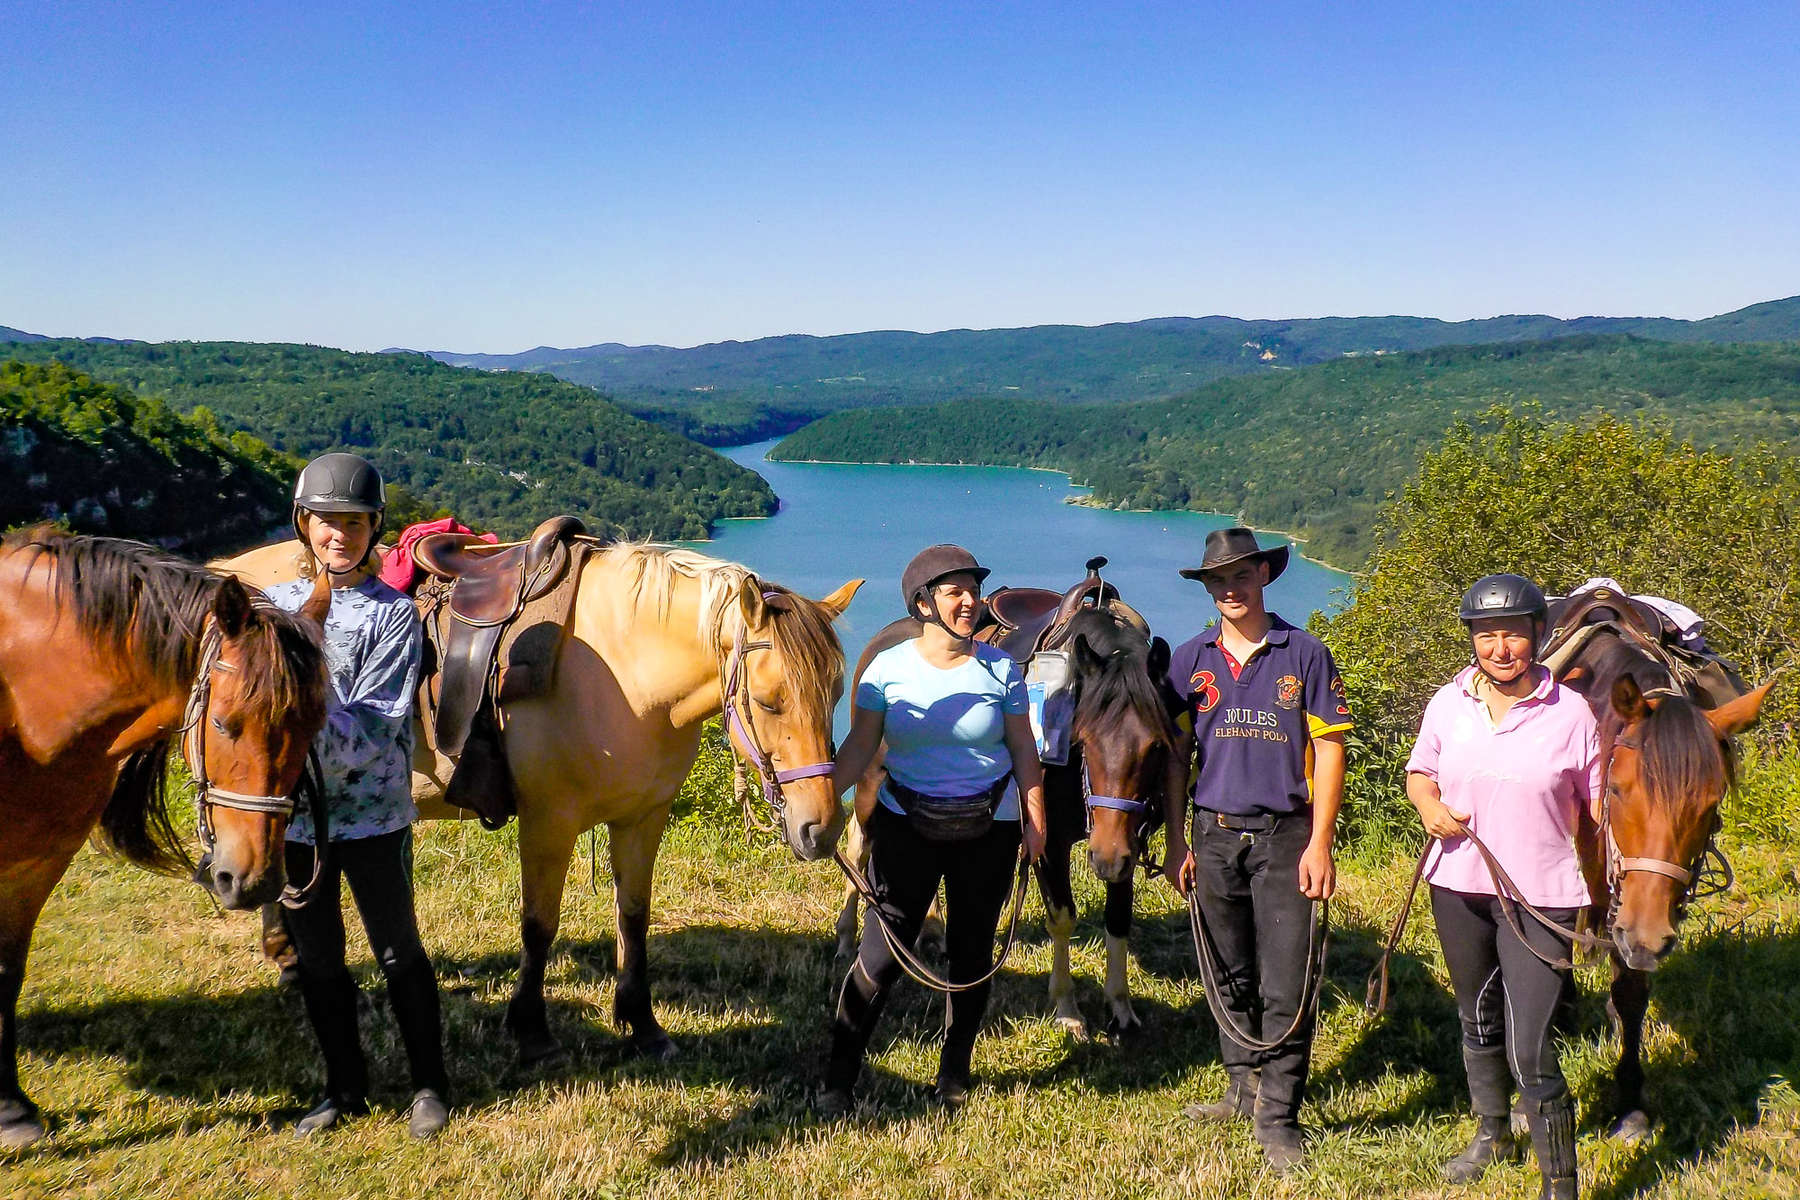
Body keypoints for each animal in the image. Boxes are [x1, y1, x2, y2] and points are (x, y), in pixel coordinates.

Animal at [0, 528, 331, 1151]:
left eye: (314, 727)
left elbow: (7, 975)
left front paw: (11, 1110)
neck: (22, 695)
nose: (253, 881)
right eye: (224, 724)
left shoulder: (35, 862)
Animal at [217, 539, 856, 1065]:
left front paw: (642, 1023)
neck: (626, 672)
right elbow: (539, 924)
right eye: (770, 701)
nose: (820, 829)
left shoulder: (642, 818)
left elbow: (634, 914)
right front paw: (531, 1030)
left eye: (836, 695)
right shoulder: (549, 822)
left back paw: (286, 953)